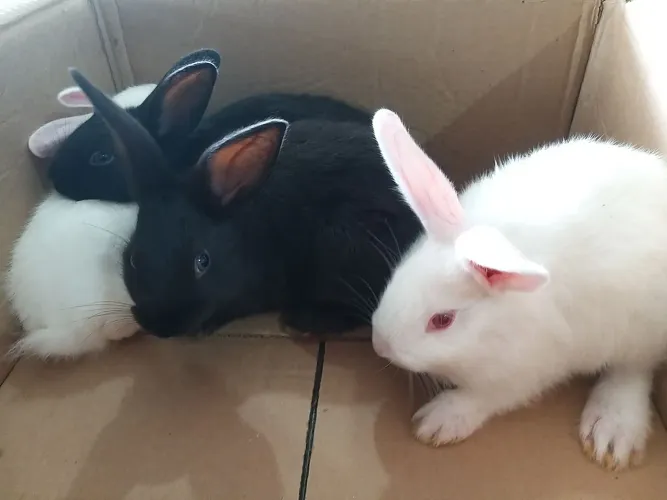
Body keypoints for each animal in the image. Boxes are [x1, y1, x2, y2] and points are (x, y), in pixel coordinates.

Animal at [370, 108, 667, 471]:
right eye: (396, 275)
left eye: (442, 320)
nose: (380, 345)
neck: (493, 330)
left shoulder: (527, 369)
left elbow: (486, 396)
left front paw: (436, 421)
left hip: (637, 331)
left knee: (634, 370)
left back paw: (611, 432)